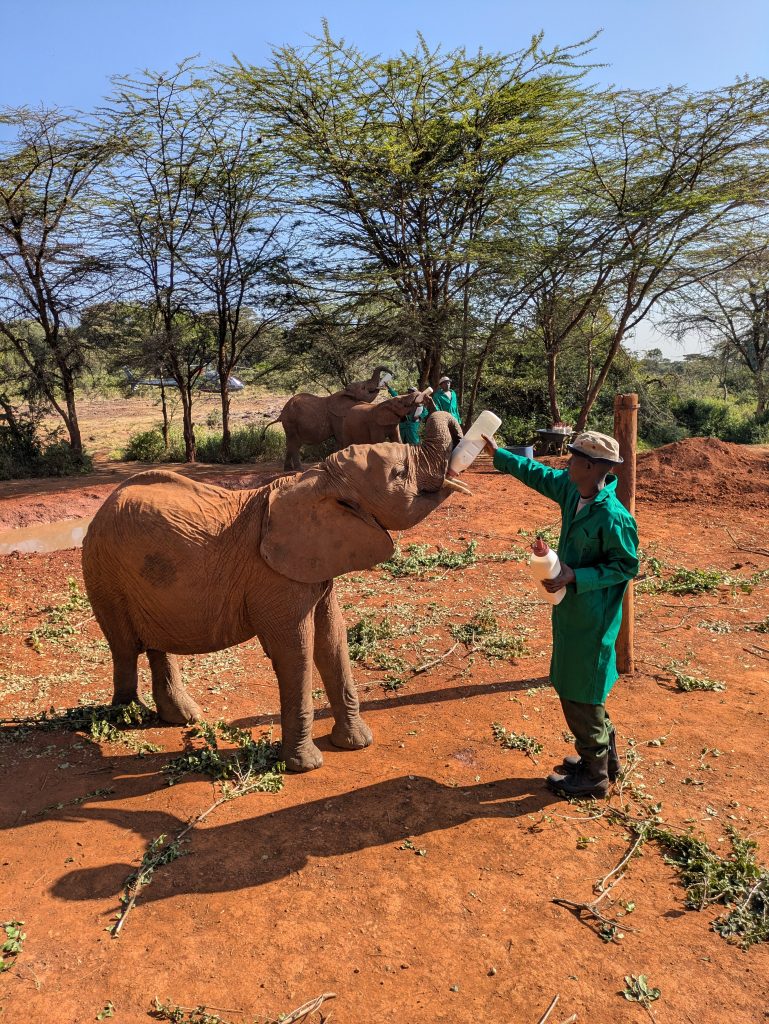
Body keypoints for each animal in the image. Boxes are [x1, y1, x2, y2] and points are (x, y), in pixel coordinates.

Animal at [81, 412, 471, 773]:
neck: (317, 480)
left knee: (155, 644)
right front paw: (306, 766)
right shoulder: (275, 577)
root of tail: (106, 503)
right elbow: (296, 648)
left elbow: (333, 639)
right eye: (400, 473)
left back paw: (184, 717)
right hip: (104, 572)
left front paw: (357, 744)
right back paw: (129, 719)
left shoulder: (314, 564)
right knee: (125, 647)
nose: (458, 428)